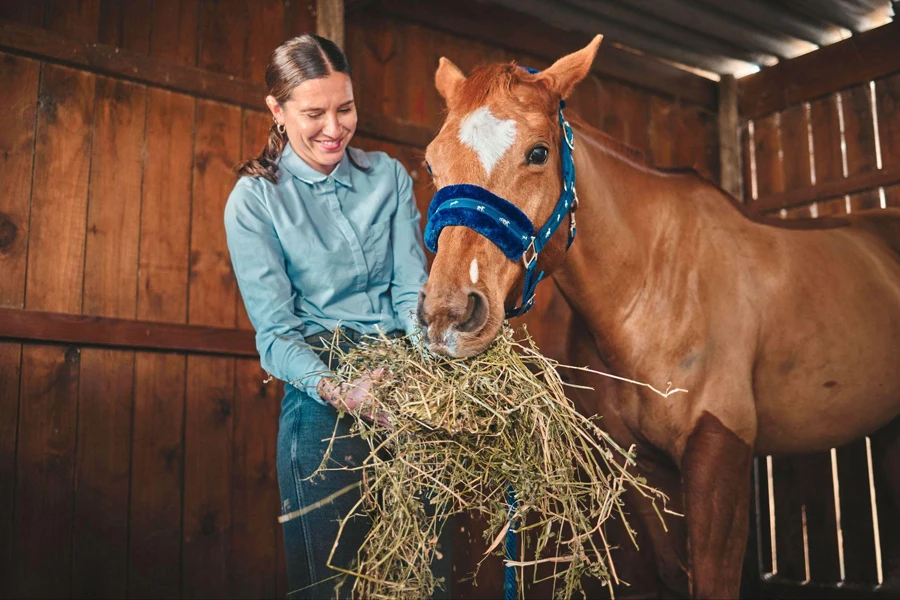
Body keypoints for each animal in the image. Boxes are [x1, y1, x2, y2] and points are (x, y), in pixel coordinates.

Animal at [414, 35, 900, 596]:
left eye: (538, 153)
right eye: (432, 163)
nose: (448, 315)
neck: (653, 285)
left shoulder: (720, 452)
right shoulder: (644, 466)